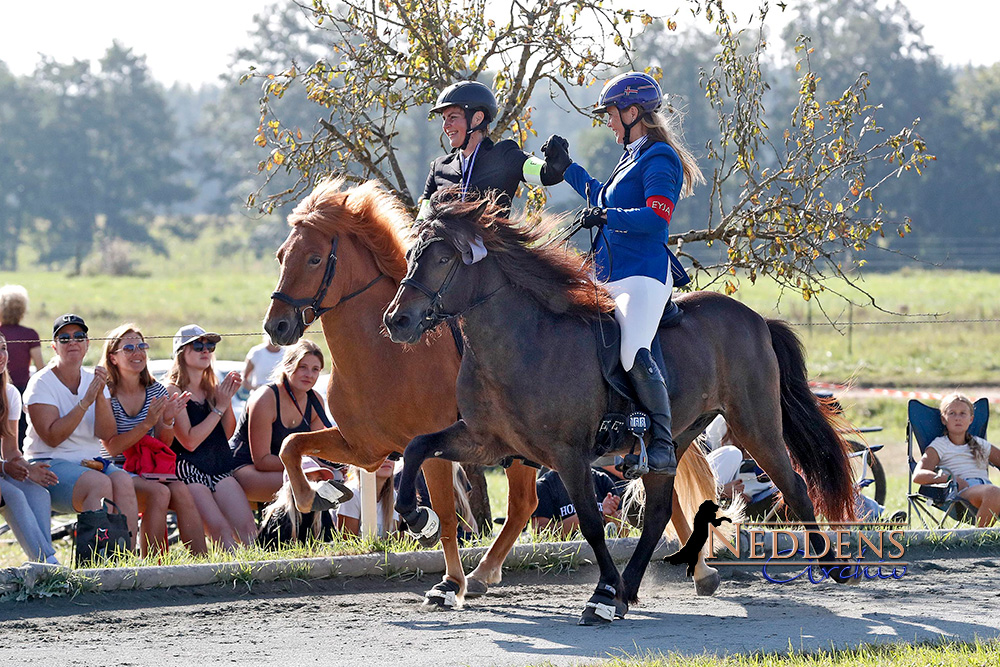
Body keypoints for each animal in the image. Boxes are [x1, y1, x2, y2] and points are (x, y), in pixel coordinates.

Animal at [262, 180, 724, 608]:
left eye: (315, 258)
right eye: (281, 256)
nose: (276, 326)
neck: (384, 356)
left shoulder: (428, 447)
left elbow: (445, 515)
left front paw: (447, 578)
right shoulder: (365, 448)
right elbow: (290, 446)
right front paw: (314, 496)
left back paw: (697, 570)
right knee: (528, 504)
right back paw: (486, 573)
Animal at [386, 194, 856, 628]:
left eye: (443, 258)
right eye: (411, 255)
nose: (397, 321)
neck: (520, 342)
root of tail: (756, 319)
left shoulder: (569, 456)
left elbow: (593, 525)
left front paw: (602, 595)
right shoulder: (485, 441)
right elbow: (416, 446)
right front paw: (418, 517)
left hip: (755, 424)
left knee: (794, 485)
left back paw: (833, 564)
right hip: (673, 442)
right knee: (659, 512)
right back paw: (629, 590)